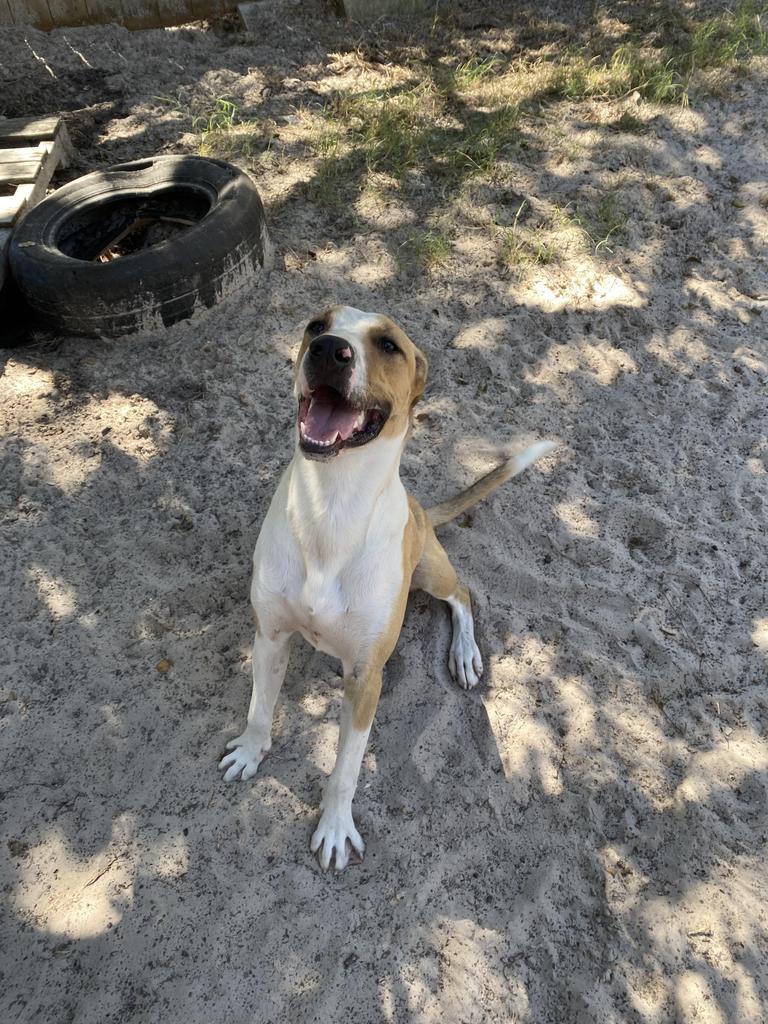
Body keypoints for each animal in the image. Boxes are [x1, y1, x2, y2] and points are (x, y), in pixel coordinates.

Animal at [219, 305, 557, 872]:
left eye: (389, 345)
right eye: (316, 325)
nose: (329, 349)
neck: (330, 505)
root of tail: (421, 507)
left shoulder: (365, 677)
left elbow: (345, 770)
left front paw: (335, 827)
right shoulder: (269, 637)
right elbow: (260, 709)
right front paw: (249, 750)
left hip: (429, 571)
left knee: (463, 594)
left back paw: (464, 654)